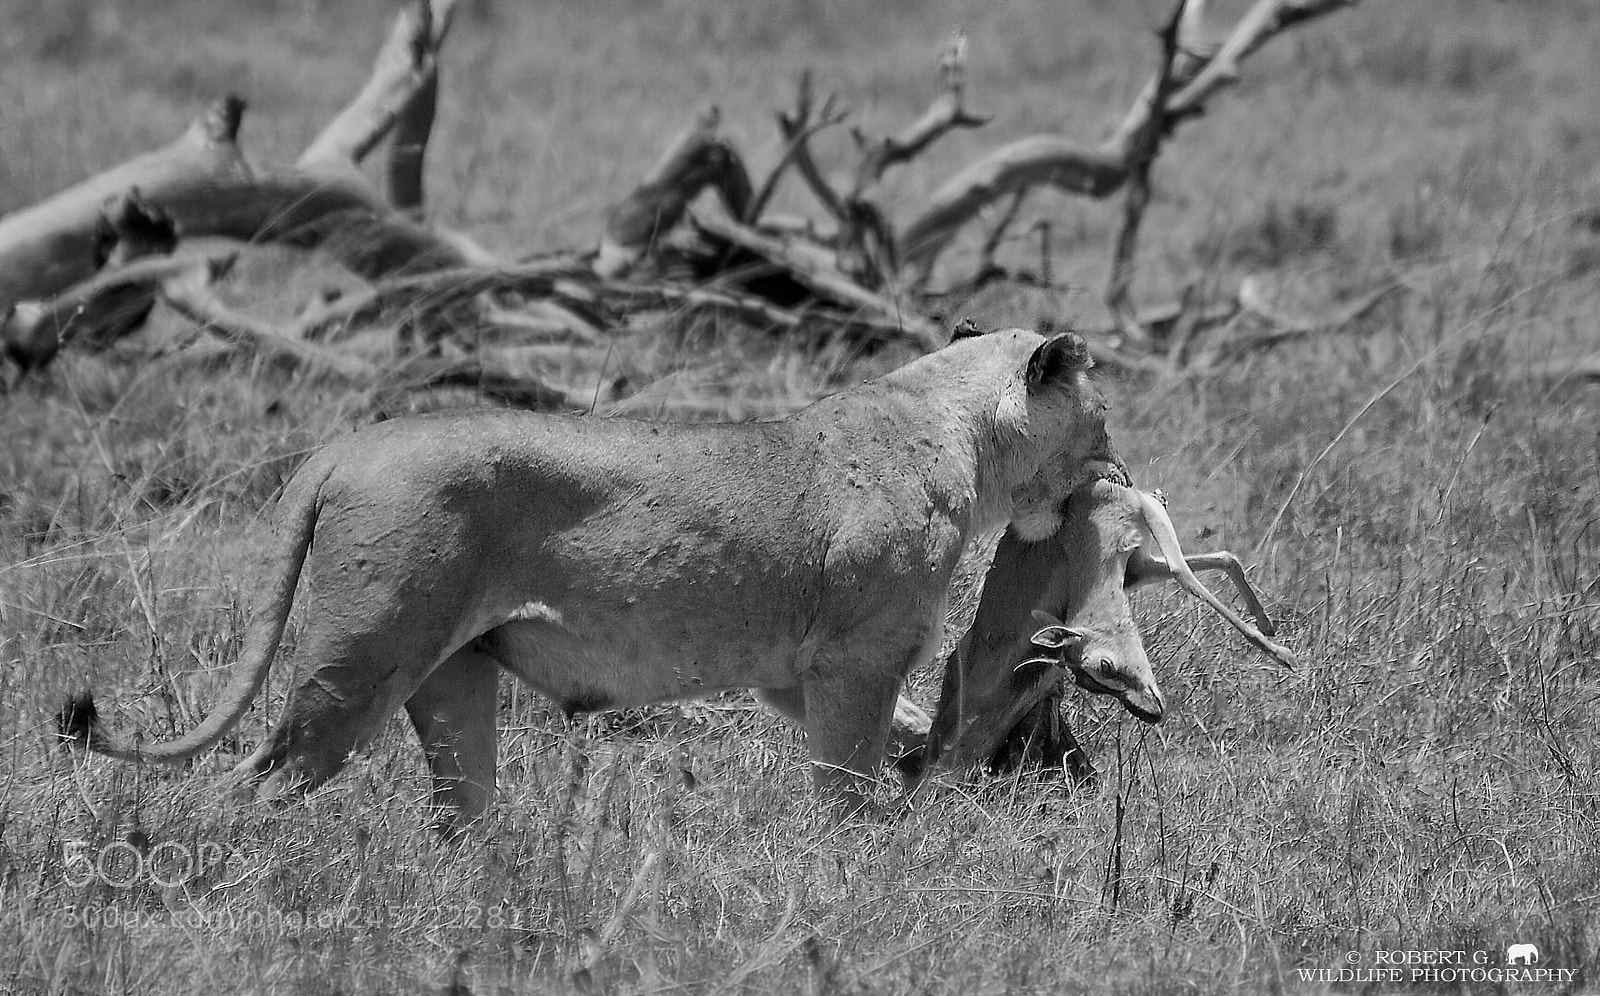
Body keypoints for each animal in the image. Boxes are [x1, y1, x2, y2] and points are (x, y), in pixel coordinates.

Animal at [64, 328, 1117, 823]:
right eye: (1104, 417)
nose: (1120, 468)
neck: (957, 428)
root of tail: (344, 444)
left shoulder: (795, 675)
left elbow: (894, 734)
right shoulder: (850, 663)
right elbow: (848, 785)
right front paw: (860, 860)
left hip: (453, 680)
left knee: (461, 818)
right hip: (355, 662)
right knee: (251, 783)